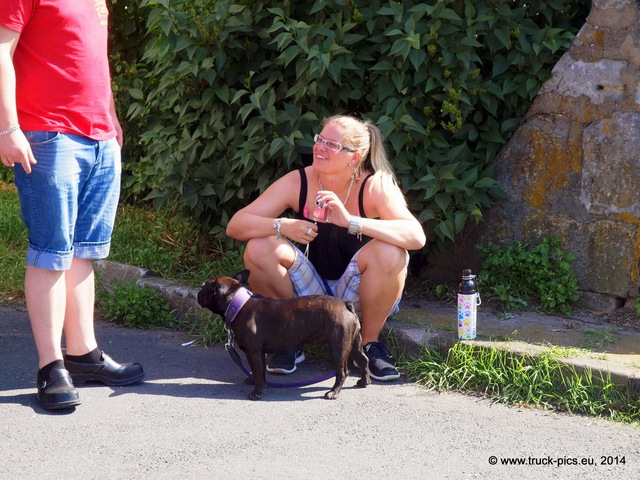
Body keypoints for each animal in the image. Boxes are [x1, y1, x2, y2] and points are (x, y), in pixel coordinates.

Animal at [198, 268, 372, 400]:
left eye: (203, 287)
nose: (198, 293)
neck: (238, 304)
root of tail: (345, 304)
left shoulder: (253, 352)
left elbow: (258, 371)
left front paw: (257, 393)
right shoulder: (259, 353)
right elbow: (259, 371)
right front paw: (254, 381)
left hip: (338, 347)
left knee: (342, 372)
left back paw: (333, 392)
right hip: (353, 342)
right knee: (363, 360)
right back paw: (364, 382)